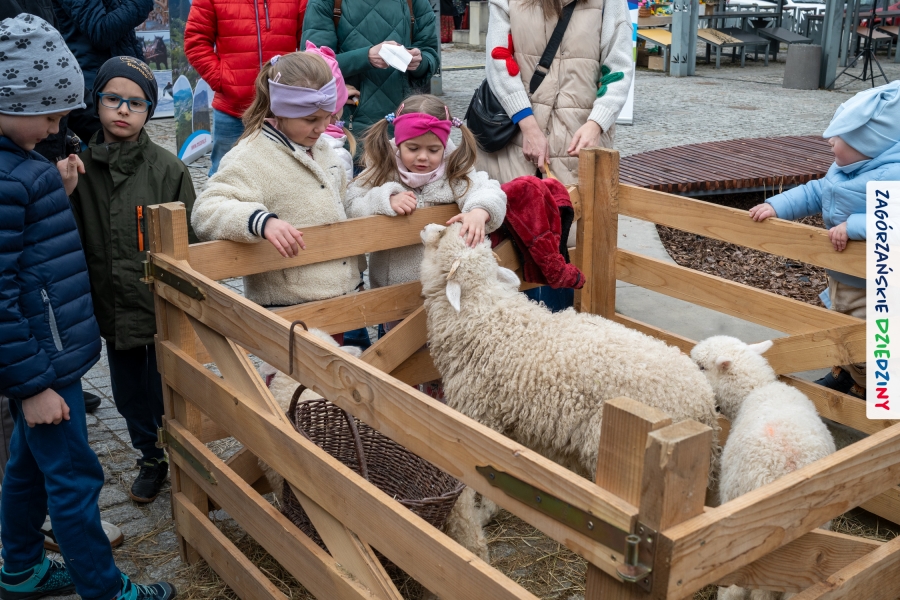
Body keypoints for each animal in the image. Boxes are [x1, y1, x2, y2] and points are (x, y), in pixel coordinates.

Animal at [418, 222, 721, 564]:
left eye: (442, 236)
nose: (426, 226)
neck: (485, 316)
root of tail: (703, 405)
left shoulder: (476, 416)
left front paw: (479, 521)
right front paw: (489, 511)